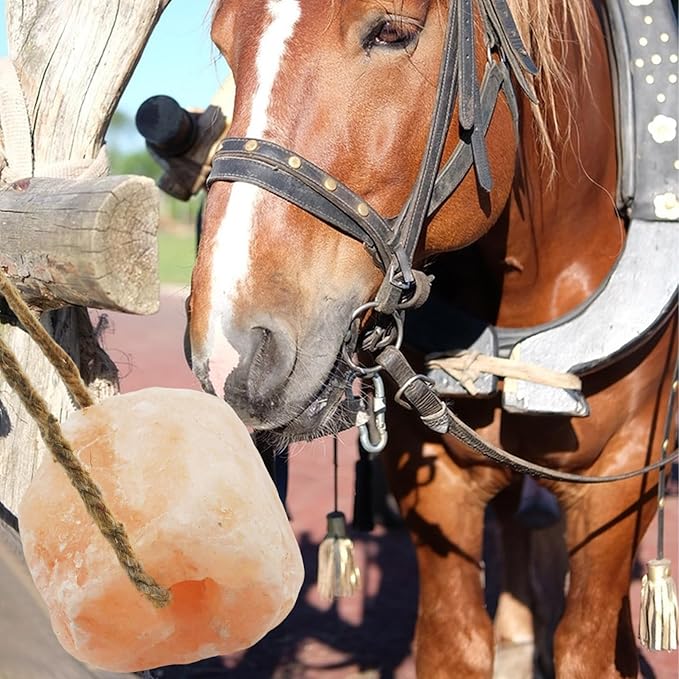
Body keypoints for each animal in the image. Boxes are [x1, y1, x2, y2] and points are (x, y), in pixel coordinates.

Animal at [186, 0, 677, 676]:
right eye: (223, 41)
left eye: (393, 31)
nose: (233, 351)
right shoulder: (437, 480)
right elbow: (458, 643)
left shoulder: (624, 472)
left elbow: (587, 644)